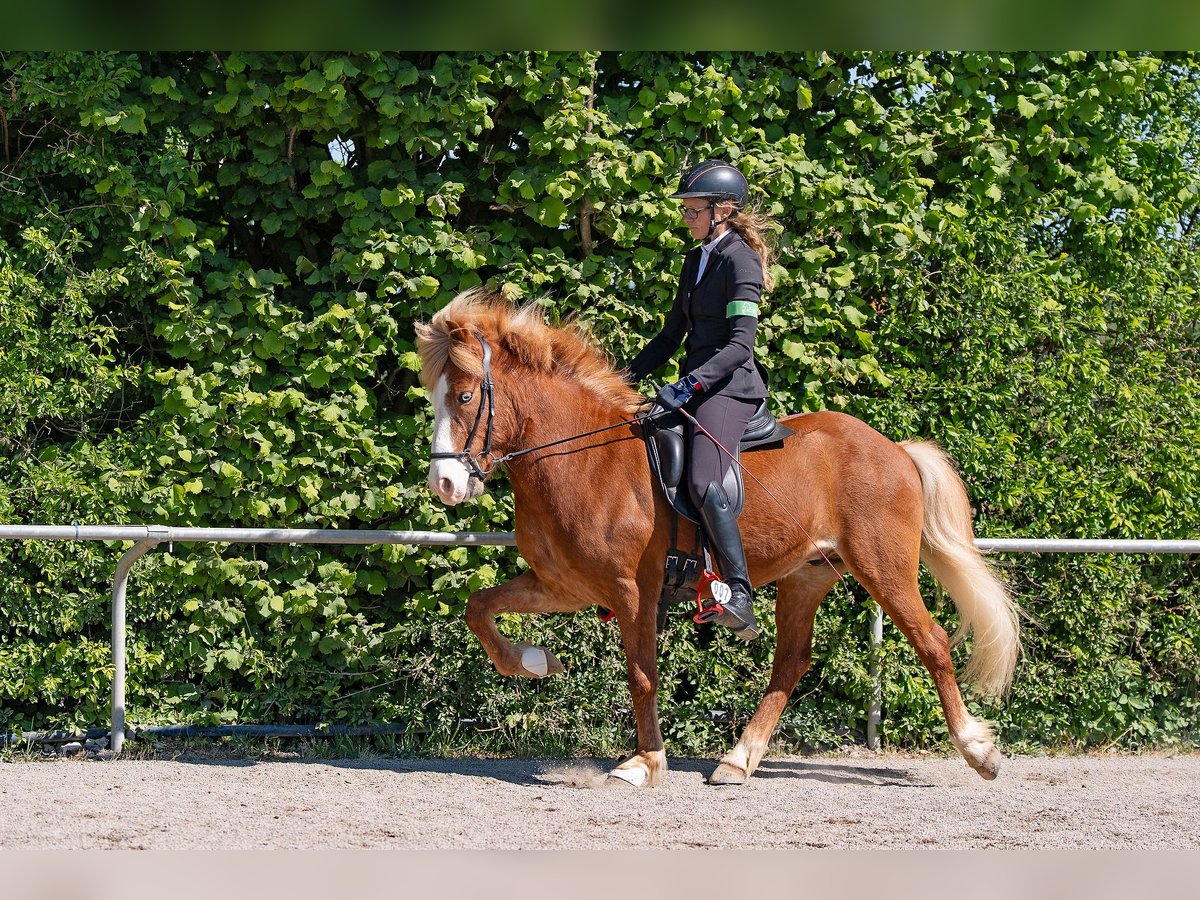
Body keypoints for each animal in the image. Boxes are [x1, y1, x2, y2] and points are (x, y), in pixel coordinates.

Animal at [415, 289, 1020, 788]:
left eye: (466, 398)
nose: (444, 484)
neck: (580, 459)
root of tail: (894, 448)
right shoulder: (563, 586)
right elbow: (478, 608)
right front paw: (534, 662)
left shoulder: (631, 590)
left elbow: (641, 675)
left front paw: (644, 763)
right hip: (807, 575)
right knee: (791, 662)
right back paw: (737, 759)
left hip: (882, 567)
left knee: (932, 641)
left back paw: (978, 752)